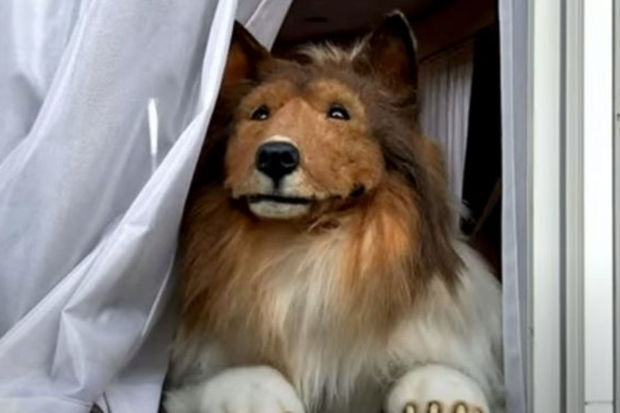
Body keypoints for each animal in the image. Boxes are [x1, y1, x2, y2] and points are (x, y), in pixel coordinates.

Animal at [165, 11, 504, 413]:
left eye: (339, 113)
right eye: (260, 113)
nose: (275, 156)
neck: (304, 242)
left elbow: (435, 365)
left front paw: (439, 398)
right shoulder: (188, 377)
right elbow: (246, 374)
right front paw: (266, 399)